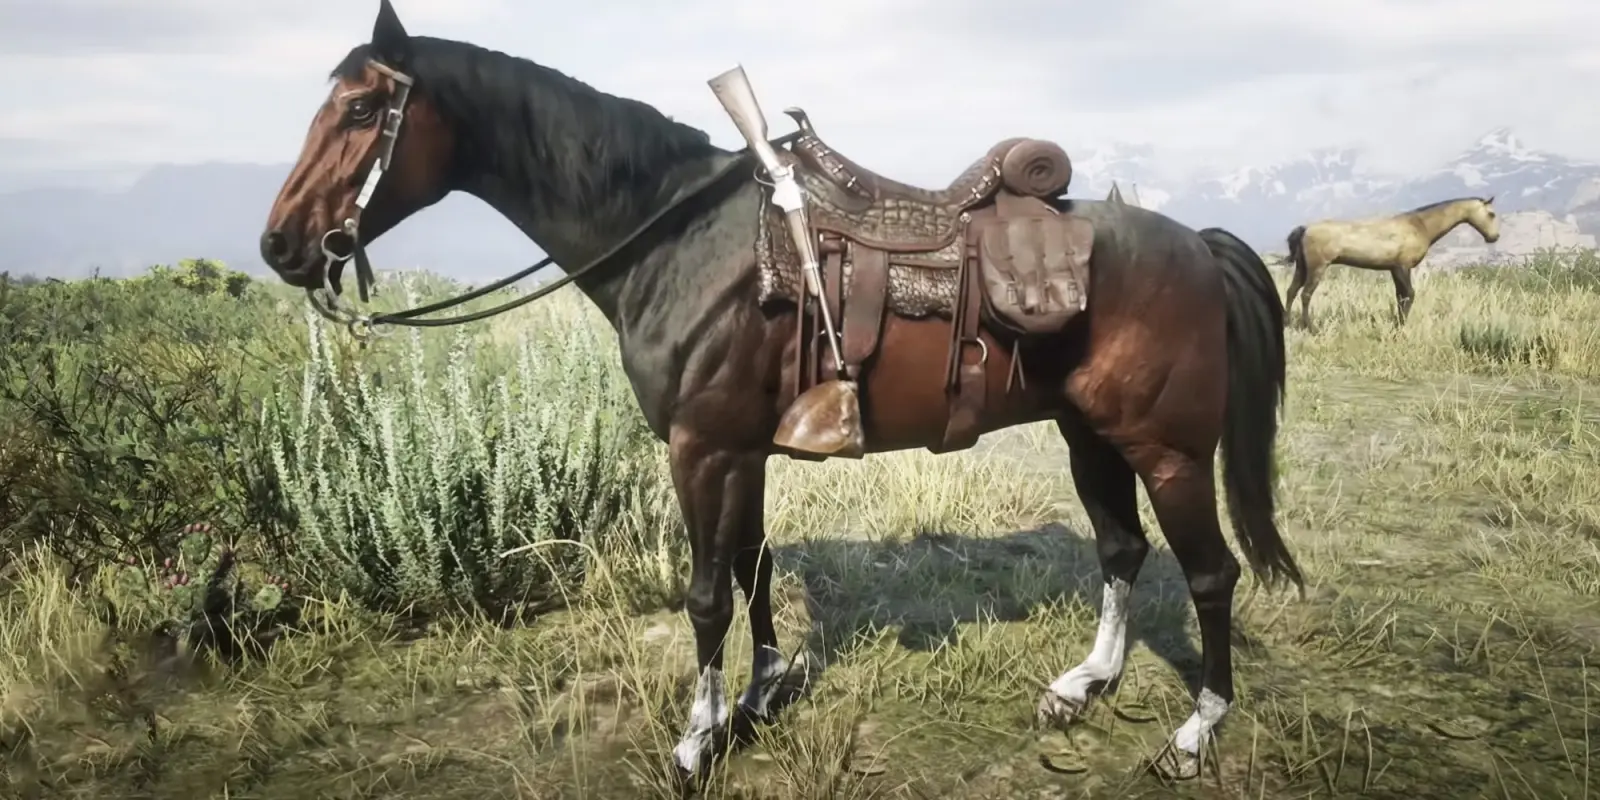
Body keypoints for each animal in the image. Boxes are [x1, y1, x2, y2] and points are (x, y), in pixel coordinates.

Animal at [258, 0, 1302, 784]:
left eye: (363, 111)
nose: (281, 245)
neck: (679, 241)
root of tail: (1197, 246)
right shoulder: (741, 450)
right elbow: (753, 572)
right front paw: (759, 698)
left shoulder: (702, 449)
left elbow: (705, 596)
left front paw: (696, 739)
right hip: (1091, 436)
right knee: (1121, 549)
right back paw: (1085, 683)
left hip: (1169, 450)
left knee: (1211, 575)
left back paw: (1197, 730)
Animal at [1284, 196, 1502, 329]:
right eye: (1491, 214)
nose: (1494, 237)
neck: (1419, 225)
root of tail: (1304, 228)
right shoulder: (1401, 267)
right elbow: (1409, 295)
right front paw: (1400, 325)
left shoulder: (1395, 269)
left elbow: (1400, 297)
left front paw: (1397, 323)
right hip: (1317, 267)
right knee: (1305, 294)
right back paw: (1310, 327)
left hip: (1302, 267)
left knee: (1291, 291)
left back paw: (1287, 323)